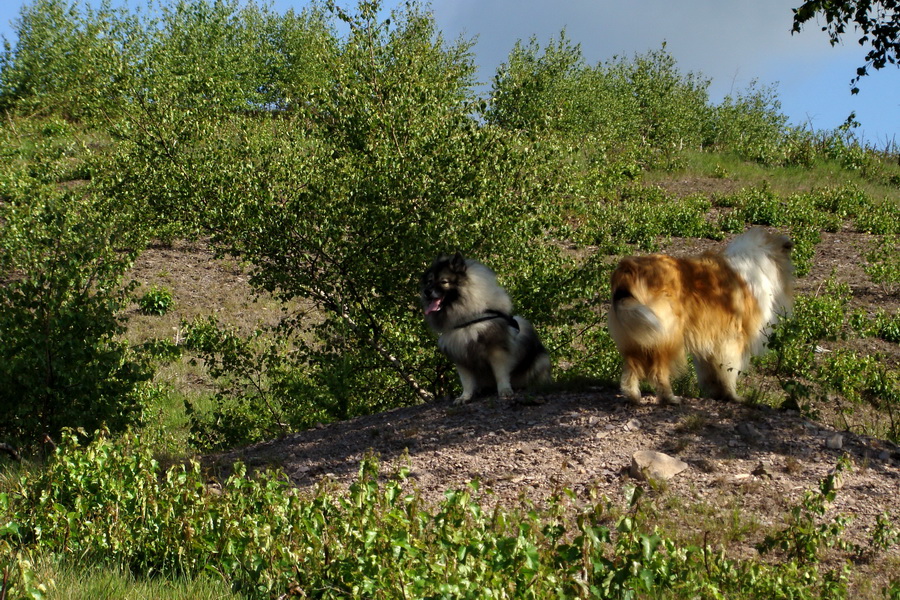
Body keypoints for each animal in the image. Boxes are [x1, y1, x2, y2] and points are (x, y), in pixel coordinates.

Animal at [608, 227, 792, 406]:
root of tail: (627, 270)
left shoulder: (710, 341)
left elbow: (710, 372)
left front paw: (716, 393)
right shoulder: (732, 340)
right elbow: (729, 370)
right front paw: (733, 396)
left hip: (635, 335)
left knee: (632, 367)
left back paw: (632, 395)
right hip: (666, 335)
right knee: (658, 372)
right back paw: (670, 398)